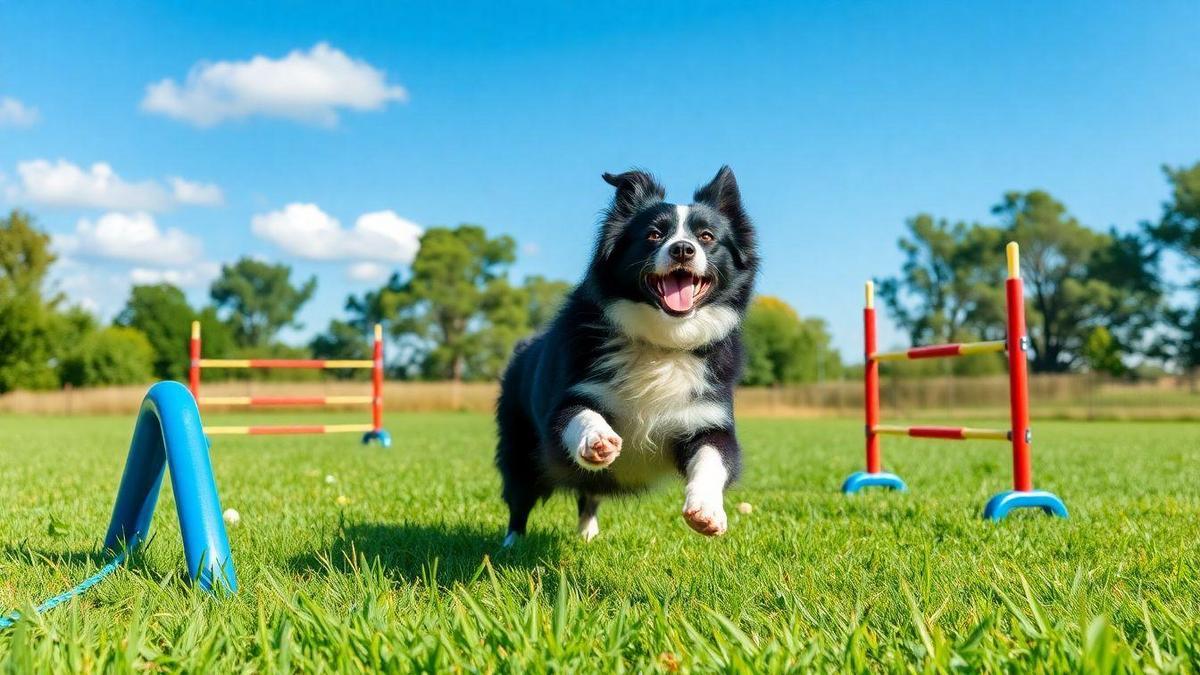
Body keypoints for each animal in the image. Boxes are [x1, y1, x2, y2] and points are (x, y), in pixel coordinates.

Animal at [496, 166, 758, 540]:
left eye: (707, 236)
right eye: (653, 234)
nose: (682, 249)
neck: (662, 341)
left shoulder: (708, 415)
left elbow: (715, 456)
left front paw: (707, 512)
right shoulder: (569, 397)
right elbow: (577, 414)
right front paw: (597, 439)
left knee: (589, 494)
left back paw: (587, 535)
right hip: (518, 443)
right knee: (520, 496)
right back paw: (511, 543)